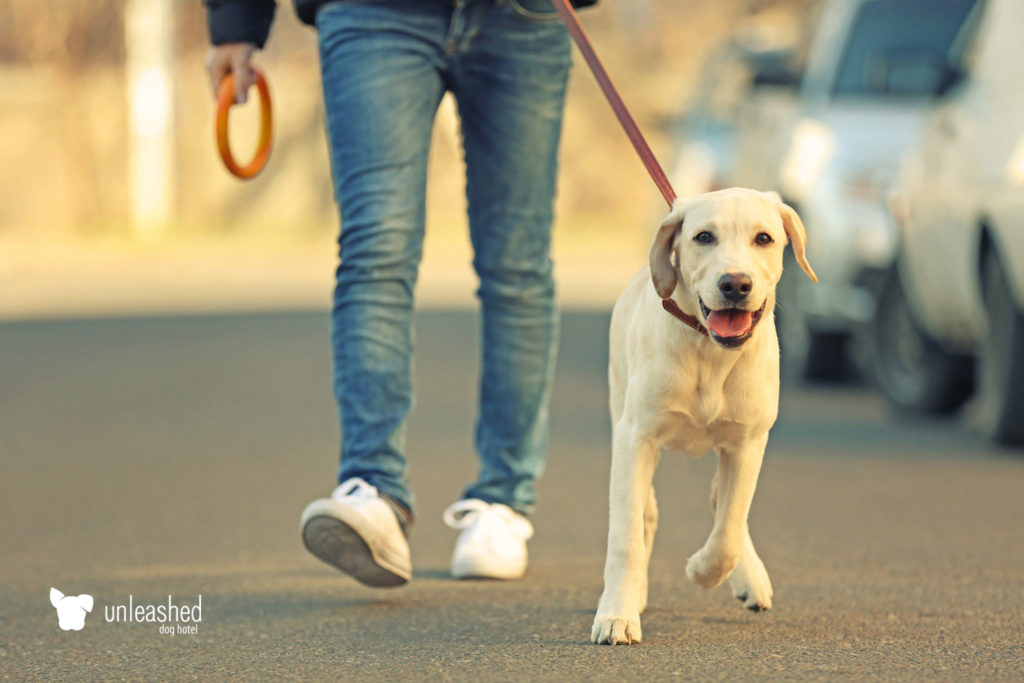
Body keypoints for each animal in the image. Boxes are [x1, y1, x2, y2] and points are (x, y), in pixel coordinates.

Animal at [593, 188, 815, 647]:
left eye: (764, 238)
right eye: (703, 237)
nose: (735, 284)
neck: (710, 353)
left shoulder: (748, 443)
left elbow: (729, 527)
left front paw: (703, 569)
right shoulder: (635, 438)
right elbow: (626, 535)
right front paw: (618, 614)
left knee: (725, 502)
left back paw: (750, 578)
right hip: (622, 407)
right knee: (647, 511)